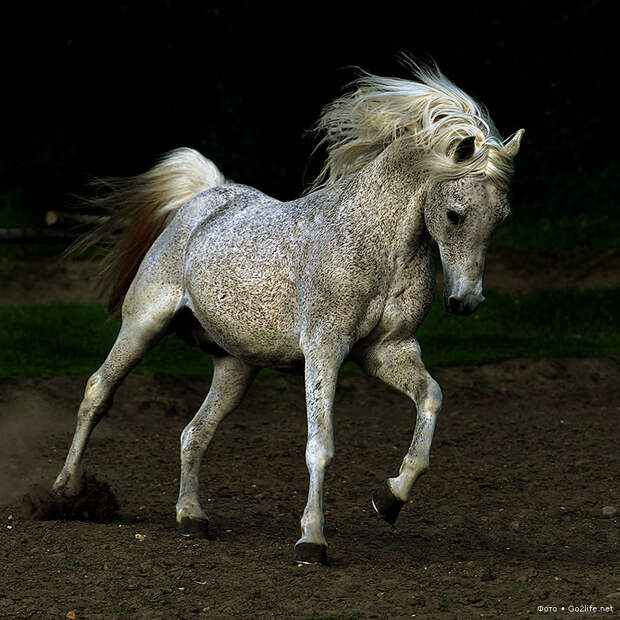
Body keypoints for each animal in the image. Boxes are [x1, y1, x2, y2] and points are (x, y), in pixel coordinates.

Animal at [52, 64, 524, 568]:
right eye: (455, 214)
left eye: (501, 219)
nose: (466, 301)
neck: (380, 246)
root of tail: (205, 197)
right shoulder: (324, 349)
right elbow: (321, 445)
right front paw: (312, 541)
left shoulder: (387, 352)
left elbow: (431, 398)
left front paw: (390, 498)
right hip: (143, 325)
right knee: (98, 392)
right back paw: (65, 493)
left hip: (235, 367)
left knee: (193, 432)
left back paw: (191, 516)